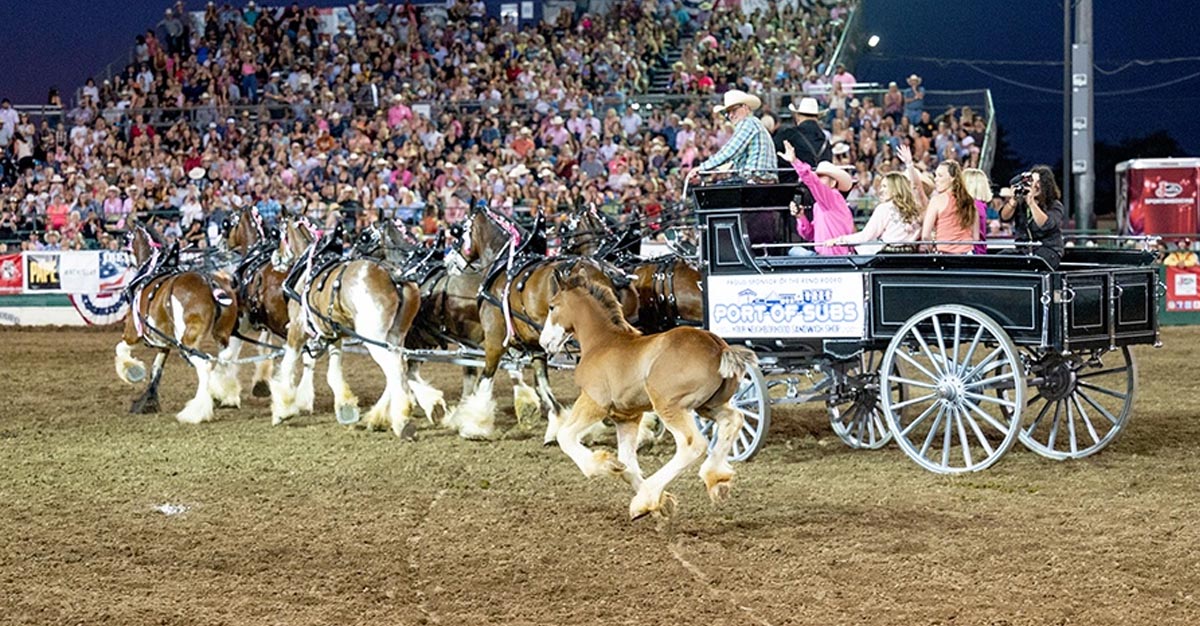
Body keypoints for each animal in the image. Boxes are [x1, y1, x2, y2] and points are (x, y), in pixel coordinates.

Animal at [542, 277, 753, 515]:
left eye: (552, 306)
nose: (544, 342)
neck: (602, 342)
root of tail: (719, 347)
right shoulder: (626, 417)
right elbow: (627, 464)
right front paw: (661, 503)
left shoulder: (594, 401)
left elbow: (565, 436)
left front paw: (605, 465)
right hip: (708, 406)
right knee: (733, 419)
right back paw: (716, 479)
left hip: (670, 406)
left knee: (693, 445)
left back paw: (649, 494)